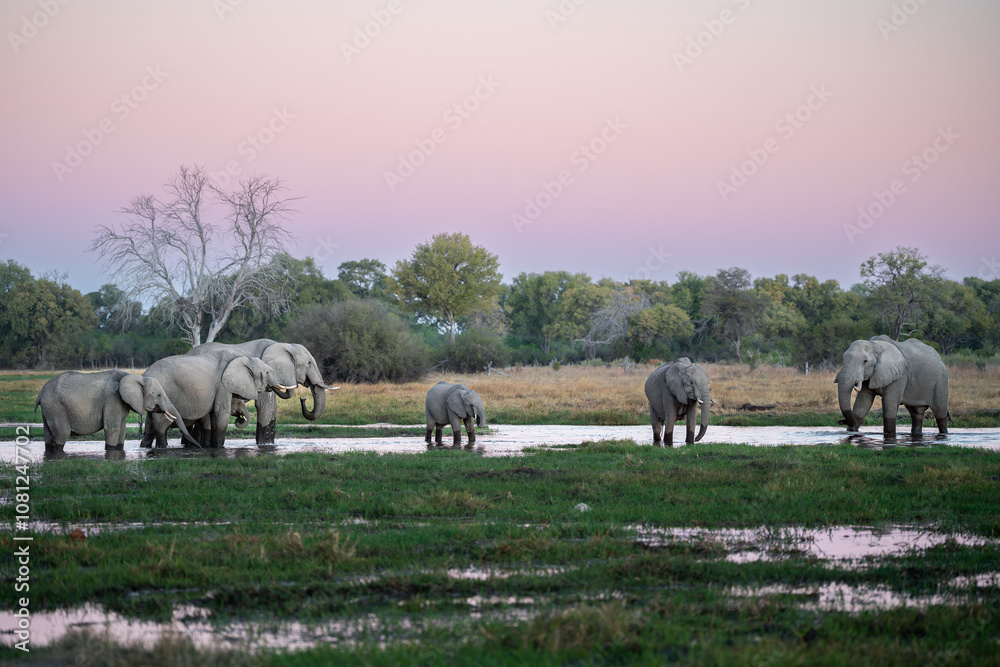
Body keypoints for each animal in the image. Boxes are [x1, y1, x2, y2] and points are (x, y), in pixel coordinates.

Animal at [35, 370, 197, 451]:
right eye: (158, 395)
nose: (199, 447)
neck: (136, 377)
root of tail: (41, 392)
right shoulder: (112, 399)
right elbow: (112, 428)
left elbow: (122, 429)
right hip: (56, 406)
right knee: (61, 434)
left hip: (49, 407)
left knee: (48, 435)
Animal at [140, 354, 293, 448]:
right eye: (266, 373)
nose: (239, 420)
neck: (242, 360)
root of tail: (145, 374)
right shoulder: (222, 386)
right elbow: (221, 414)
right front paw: (219, 447)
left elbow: (209, 418)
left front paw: (209, 446)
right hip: (162, 394)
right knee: (161, 427)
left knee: (151, 427)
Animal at [186, 339, 334, 444]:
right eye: (309, 363)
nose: (303, 399)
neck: (284, 346)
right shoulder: (263, 375)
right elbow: (266, 406)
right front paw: (265, 445)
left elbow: (272, 407)